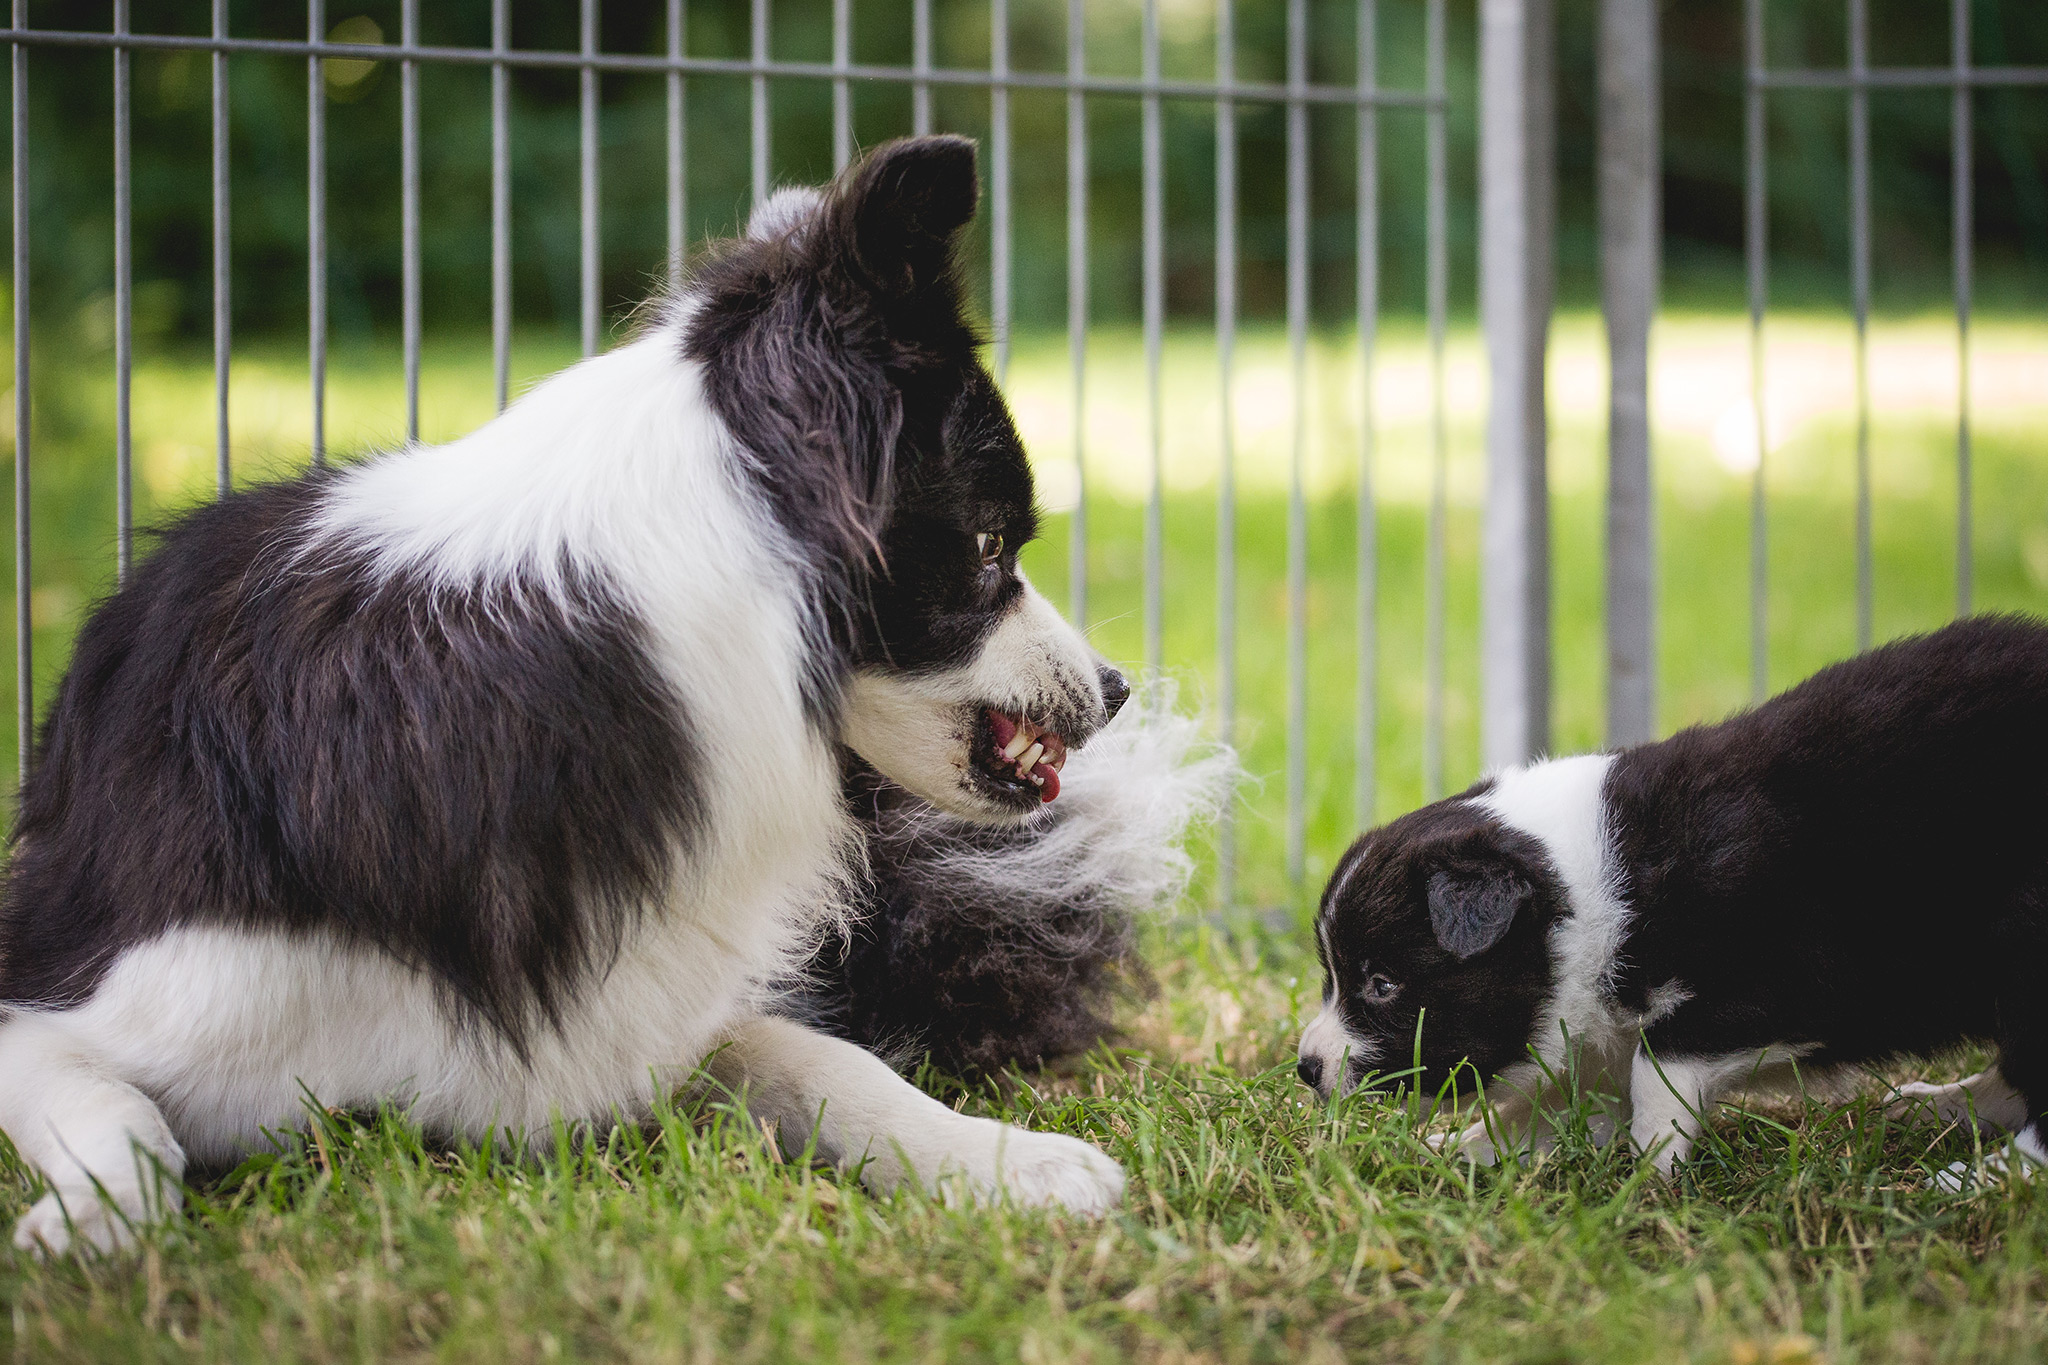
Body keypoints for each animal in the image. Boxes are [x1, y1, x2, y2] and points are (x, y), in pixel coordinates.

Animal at [0, 139, 1138, 1260]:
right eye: (990, 545)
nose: (1118, 687)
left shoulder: (645, 1014)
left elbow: (827, 1059)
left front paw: (1009, 1160)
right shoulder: (86, 994)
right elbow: (124, 1117)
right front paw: (88, 1222)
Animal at [1302, 618, 2048, 1178]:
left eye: (1381, 983)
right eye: (1333, 977)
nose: (1306, 1067)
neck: (1598, 887)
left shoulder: (1780, 976)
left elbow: (1656, 1062)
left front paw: (1645, 1170)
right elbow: (1541, 1104)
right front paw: (1457, 1152)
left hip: (2023, 938)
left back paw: (1979, 1179)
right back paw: (1940, 1108)